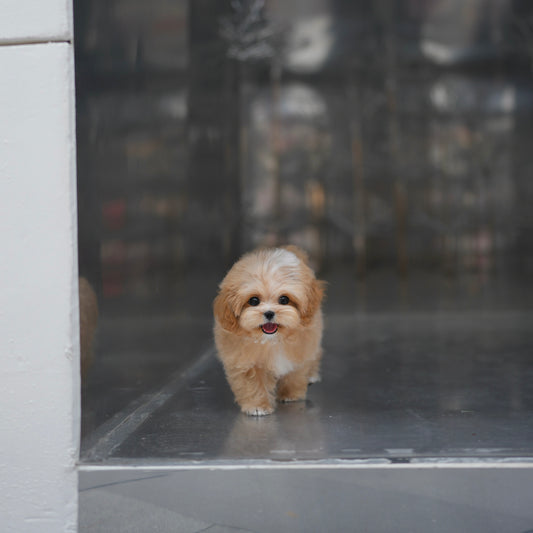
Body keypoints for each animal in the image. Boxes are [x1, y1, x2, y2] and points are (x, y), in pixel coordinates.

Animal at [212, 245, 324, 416]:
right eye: (254, 301)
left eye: (284, 299)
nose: (269, 313)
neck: (273, 340)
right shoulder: (246, 361)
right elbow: (253, 383)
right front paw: (258, 406)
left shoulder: (300, 350)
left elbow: (295, 373)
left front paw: (290, 394)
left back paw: (312, 375)